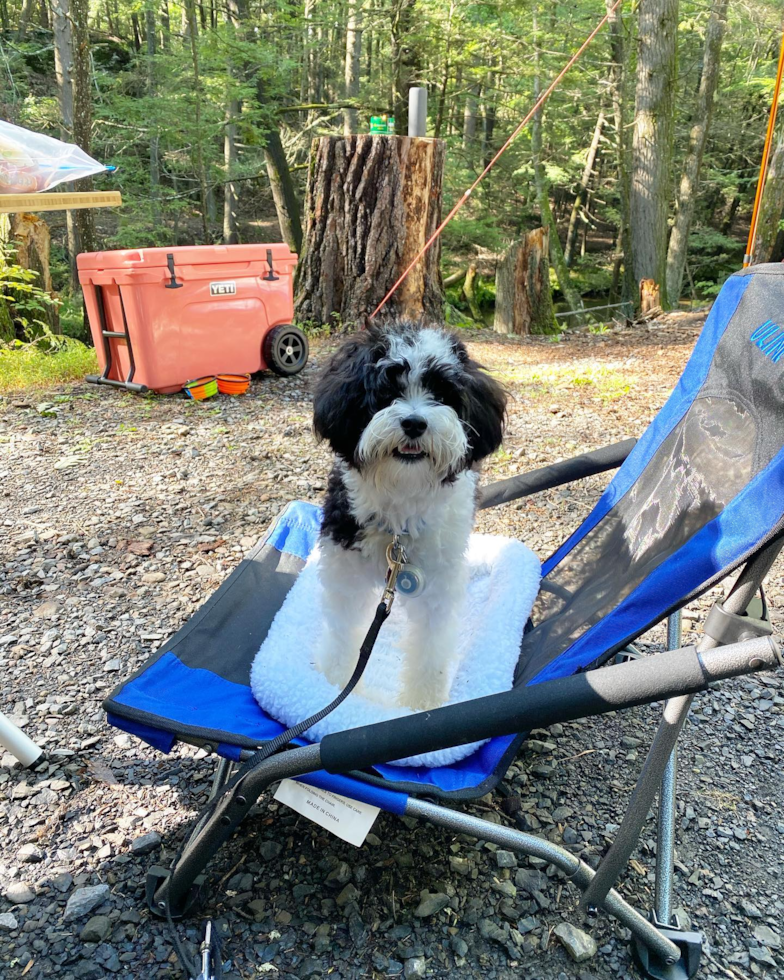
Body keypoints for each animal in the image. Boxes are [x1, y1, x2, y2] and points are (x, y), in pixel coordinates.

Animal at [314, 318, 508, 708]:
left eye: (442, 394)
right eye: (387, 392)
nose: (415, 423)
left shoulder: (438, 582)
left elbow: (430, 646)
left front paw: (422, 704)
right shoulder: (344, 568)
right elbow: (342, 630)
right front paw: (333, 685)